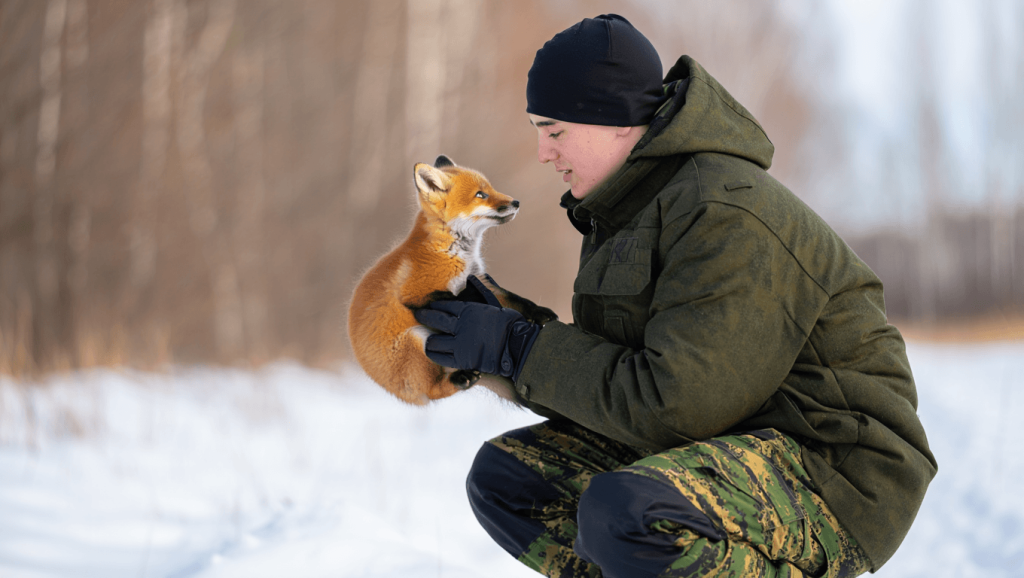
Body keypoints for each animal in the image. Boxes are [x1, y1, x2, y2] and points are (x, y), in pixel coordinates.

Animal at [348, 155, 557, 405]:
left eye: (490, 188)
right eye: (480, 194)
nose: (516, 202)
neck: (455, 252)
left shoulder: (481, 281)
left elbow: (515, 301)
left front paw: (539, 313)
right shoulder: (416, 292)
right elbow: (458, 299)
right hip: (418, 342)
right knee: (435, 390)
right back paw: (460, 379)